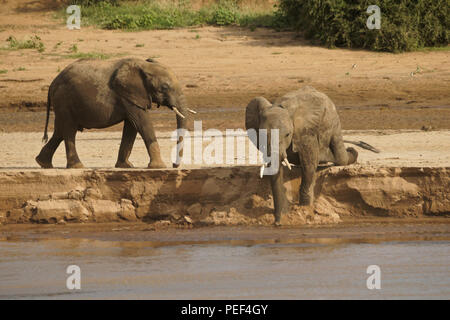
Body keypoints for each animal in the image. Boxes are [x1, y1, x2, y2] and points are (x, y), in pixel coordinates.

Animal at [33, 57, 192, 169]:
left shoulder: (131, 97)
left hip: (63, 103)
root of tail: (52, 83)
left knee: (60, 130)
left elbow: (131, 126)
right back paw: (77, 166)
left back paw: (43, 163)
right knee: (69, 130)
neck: (144, 65)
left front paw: (126, 166)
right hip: (64, 100)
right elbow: (142, 123)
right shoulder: (127, 95)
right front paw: (159, 167)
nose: (174, 165)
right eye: (164, 87)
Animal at [246, 86, 376, 224]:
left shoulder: (306, 130)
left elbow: (309, 163)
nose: (277, 222)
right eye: (262, 134)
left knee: (340, 156)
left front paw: (305, 207)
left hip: (333, 119)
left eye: (287, 134)